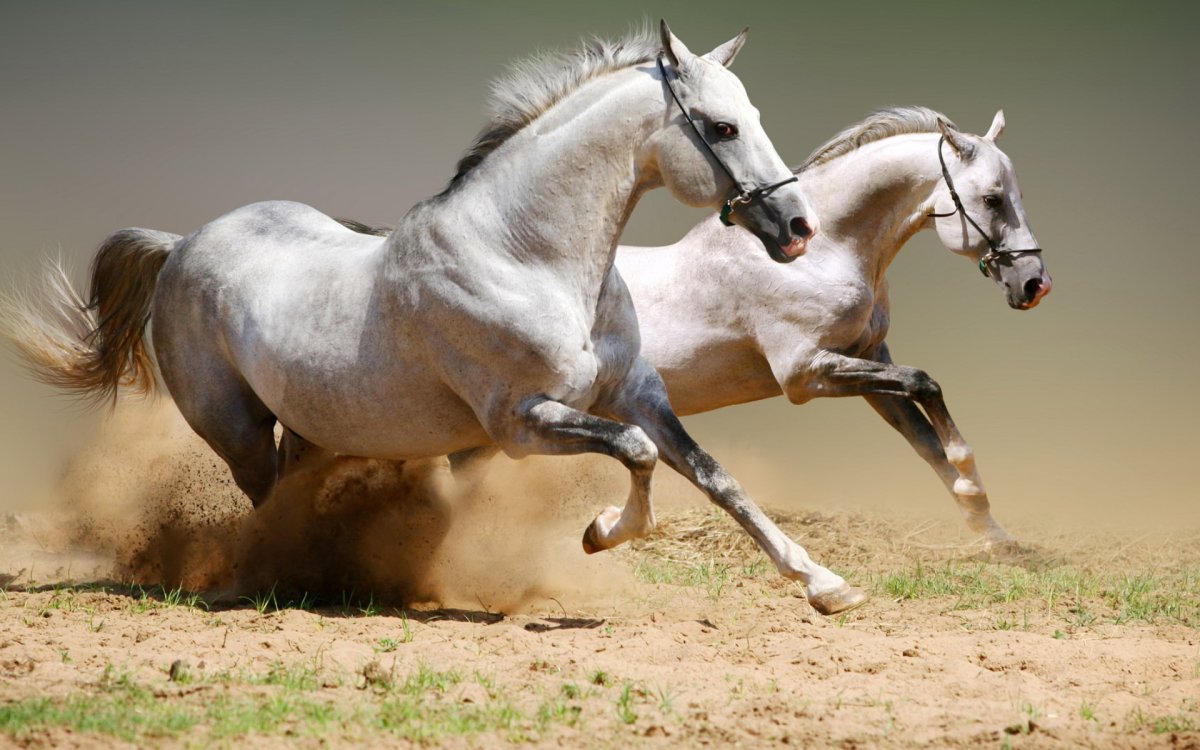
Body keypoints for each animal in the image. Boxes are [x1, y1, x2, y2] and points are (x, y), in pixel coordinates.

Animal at [2, 23, 871, 615]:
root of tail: (182, 244)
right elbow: (637, 455)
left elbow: (713, 476)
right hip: (236, 428)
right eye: (721, 127)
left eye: (750, 114)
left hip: (315, 429)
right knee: (264, 502)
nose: (797, 228)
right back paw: (275, 577)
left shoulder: (637, 393)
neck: (526, 256)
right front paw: (599, 532)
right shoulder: (521, 424)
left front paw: (826, 584)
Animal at [616, 107, 1051, 545]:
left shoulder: (868, 360)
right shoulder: (805, 374)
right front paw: (970, 481)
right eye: (992, 200)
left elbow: (926, 440)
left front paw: (992, 531)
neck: (821, 254)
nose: (1035, 285)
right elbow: (924, 383)